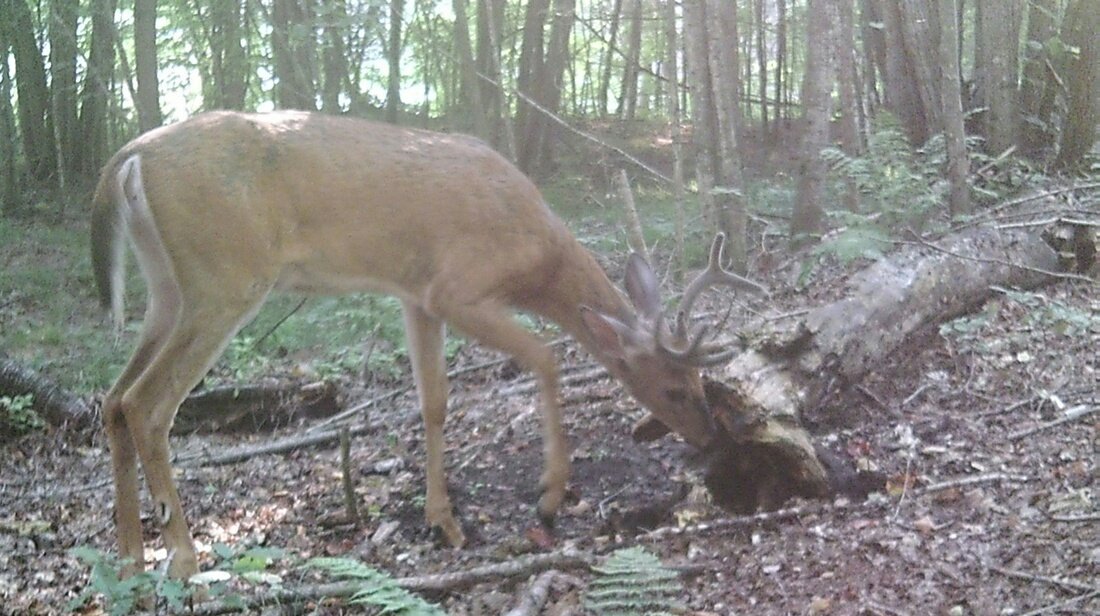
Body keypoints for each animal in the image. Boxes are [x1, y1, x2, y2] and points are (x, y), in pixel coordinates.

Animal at [91, 110, 766, 582]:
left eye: (701, 384)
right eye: (674, 387)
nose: (710, 437)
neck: (537, 254)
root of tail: (127, 156)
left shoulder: (415, 297)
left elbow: (434, 401)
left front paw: (444, 521)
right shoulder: (457, 289)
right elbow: (546, 357)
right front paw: (549, 495)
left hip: (167, 288)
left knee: (113, 397)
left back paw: (128, 562)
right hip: (226, 277)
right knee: (149, 403)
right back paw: (182, 559)